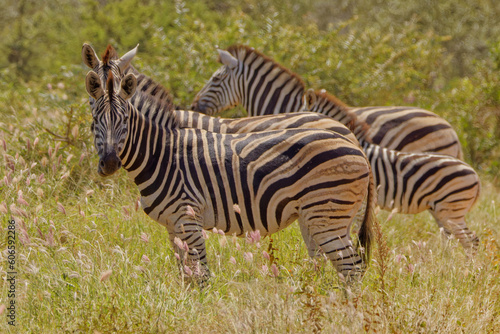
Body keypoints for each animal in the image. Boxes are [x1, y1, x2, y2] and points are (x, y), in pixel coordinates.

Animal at [85, 70, 376, 282]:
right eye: (94, 121)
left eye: (125, 121)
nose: (109, 163)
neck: (160, 155)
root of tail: (356, 147)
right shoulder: (172, 225)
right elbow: (185, 275)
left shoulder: (188, 218)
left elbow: (201, 275)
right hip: (323, 217)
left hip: (327, 215)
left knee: (352, 270)